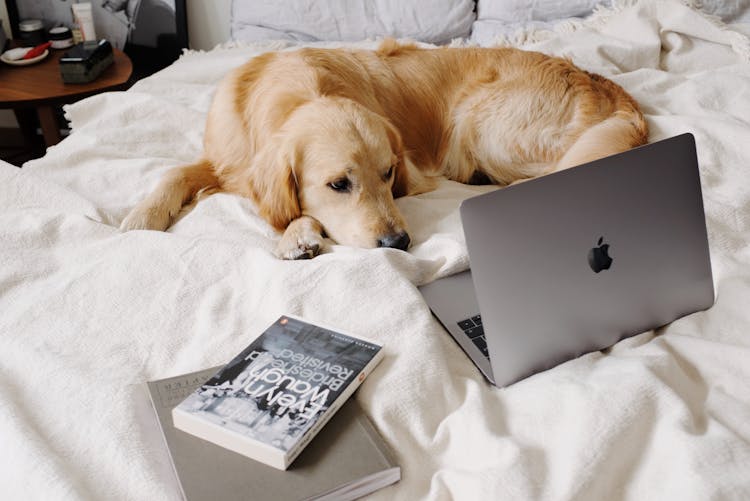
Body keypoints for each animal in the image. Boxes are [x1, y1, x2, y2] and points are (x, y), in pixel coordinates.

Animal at [120, 40, 648, 258]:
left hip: (482, 123)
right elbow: (175, 172)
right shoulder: (227, 159)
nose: (399, 244)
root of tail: (602, 82)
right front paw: (142, 215)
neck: (296, 89)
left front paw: (296, 234)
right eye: (338, 183)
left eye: (390, 175)